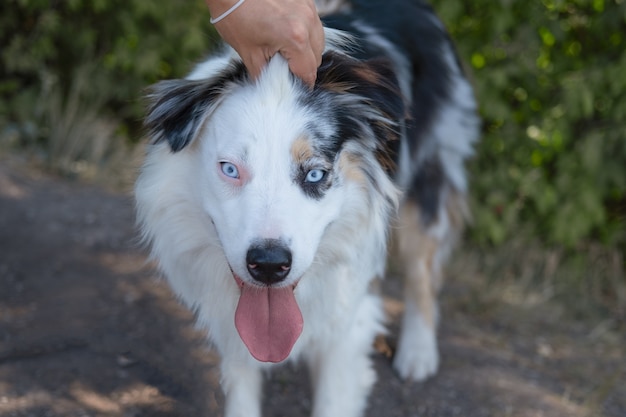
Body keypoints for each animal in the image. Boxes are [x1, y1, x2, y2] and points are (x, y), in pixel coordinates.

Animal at [134, 0, 478, 412]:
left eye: (315, 174)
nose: (269, 265)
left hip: (431, 170)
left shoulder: (348, 318)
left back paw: (418, 353)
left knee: (422, 269)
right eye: (230, 169)